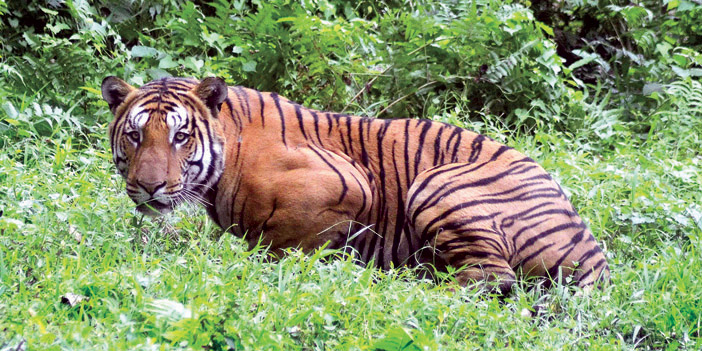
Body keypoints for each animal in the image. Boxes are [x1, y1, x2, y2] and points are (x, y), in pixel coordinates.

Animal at [100, 77, 612, 294]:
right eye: (135, 135)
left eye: (180, 137)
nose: (148, 187)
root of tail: (593, 251)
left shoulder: (347, 183)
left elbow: (282, 243)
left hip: (437, 183)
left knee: (491, 280)